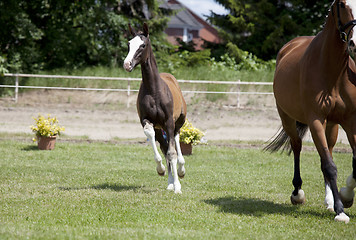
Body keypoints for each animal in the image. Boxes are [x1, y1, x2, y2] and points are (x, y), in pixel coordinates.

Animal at [124, 23, 188, 194]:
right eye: (129, 44)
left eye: (142, 45)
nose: (127, 64)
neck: (154, 91)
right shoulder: (146, 120)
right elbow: (153, 138)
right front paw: (161, 170)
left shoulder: (169, 122)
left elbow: (172, 152)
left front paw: (178, 187)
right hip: (161, 128)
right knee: (165, 147)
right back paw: (170, 182)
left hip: (178, 121)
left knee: (176, 139)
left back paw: (181, 170)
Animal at [266, 0, 356, 223]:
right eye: (343, 4)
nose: (354, 42)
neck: (333, 72)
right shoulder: (316, 120)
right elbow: (330, 166)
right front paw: (341, 210)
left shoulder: (350, 121)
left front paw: (345, 196)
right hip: (288, 118)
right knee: (297, 147)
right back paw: (298, 193)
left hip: (332, 126)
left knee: (328, 151)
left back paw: (330, 200)